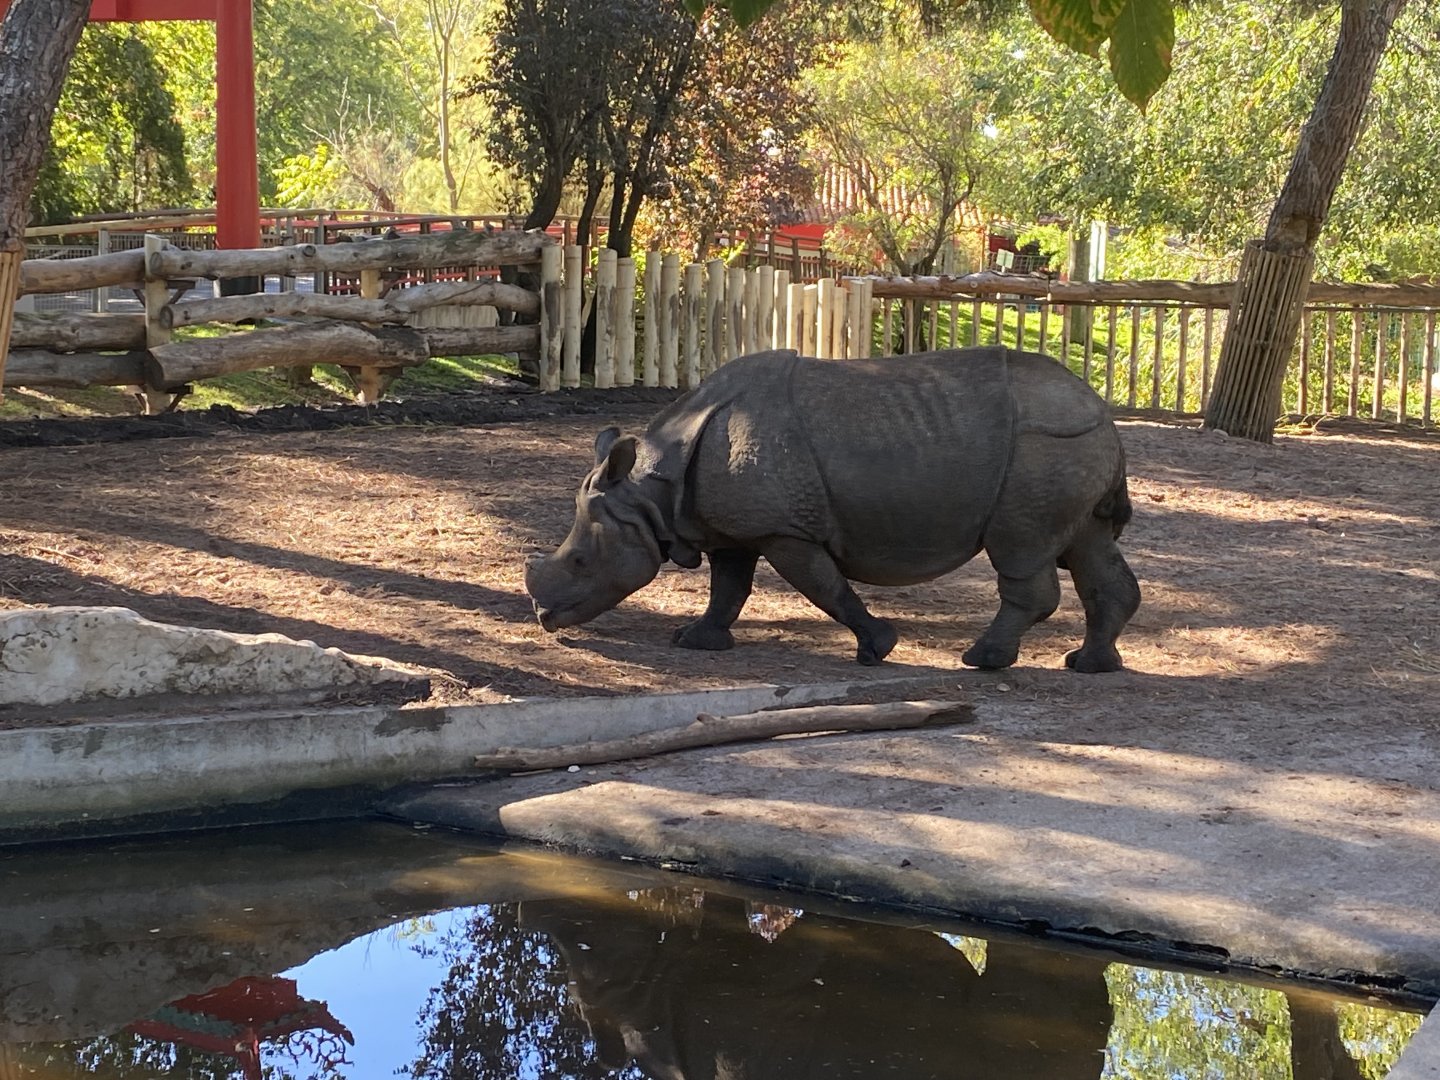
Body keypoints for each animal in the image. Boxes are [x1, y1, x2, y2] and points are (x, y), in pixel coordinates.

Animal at [525, 346, 1140, 671]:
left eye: (580, 562)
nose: (542, 616)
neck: (652, 490)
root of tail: (1099, 407)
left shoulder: (785, 529)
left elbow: (825, 588)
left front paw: (878, 647)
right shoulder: (734, 528)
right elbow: (728, 588)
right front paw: (696, 641)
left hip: (1043, 445)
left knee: (1021, 548)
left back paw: (982, 659)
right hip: (1069, 441)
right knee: (1087, 545)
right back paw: (1090, 665)